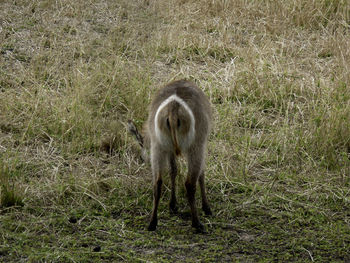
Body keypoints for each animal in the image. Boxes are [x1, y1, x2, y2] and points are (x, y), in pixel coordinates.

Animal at [128, 80, 211, 233]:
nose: (143, 160)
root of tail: (173, 108)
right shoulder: (202, 144)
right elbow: (201, 174)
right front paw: (206, 207)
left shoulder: (169, 150)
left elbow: (173, 170)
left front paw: (173, 205)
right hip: (194, 148)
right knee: (190, 184)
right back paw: (197, 224)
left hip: (159, 148)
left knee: (157, 183)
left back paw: (152, 223)